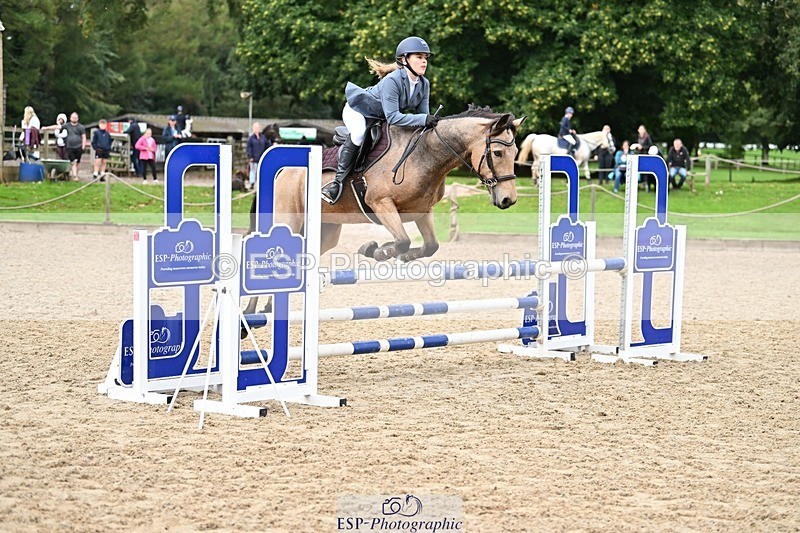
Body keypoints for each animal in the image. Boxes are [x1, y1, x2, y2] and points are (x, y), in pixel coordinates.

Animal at [243, 106, 525, 316]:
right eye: (497, 152)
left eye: (515, 152)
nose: (508, 200)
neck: (425, 155)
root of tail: (283, 171)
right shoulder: (381, 204)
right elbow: (401, 240)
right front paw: (375, 250)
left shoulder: (422, 211)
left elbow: (430, 245)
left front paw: (399, 255)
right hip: (288, 220)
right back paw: (249, 314)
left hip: (326, 231)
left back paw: (267, 307)